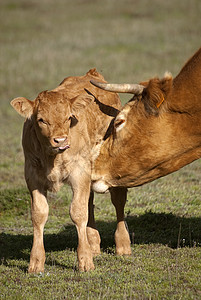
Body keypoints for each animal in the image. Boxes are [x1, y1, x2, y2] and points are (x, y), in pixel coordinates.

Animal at [10, 69, 130, 274]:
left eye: (68, 117)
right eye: (41, 120)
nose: (60, 140)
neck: (52, 157)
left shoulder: (79, 173)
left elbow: (78, 212)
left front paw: (85, 261)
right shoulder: (33, 177)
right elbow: (39, 214)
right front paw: (36, 262)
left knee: (118, 202)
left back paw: (123, 245)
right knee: (90, 202)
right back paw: (93, 244)